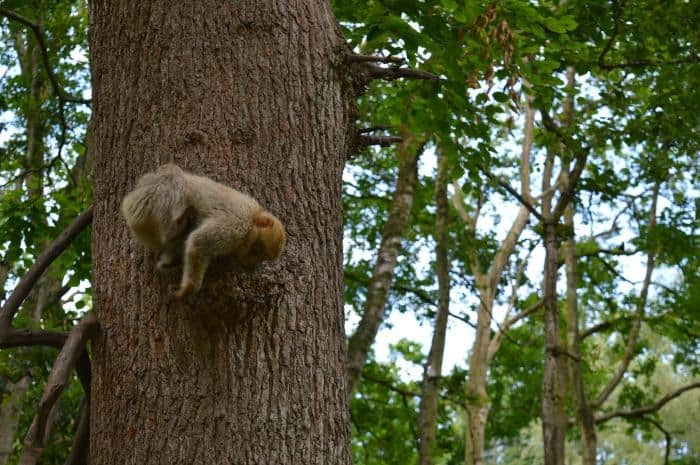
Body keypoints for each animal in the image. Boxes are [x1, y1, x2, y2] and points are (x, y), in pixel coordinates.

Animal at [121, 163, 286, 300]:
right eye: (257, 250)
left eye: (263, 258)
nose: (251, 263)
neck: (253, 218)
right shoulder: (237, 226)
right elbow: (199, 243)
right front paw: (188, 289)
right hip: (145, 203)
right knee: (173, 173)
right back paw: (174, 230)